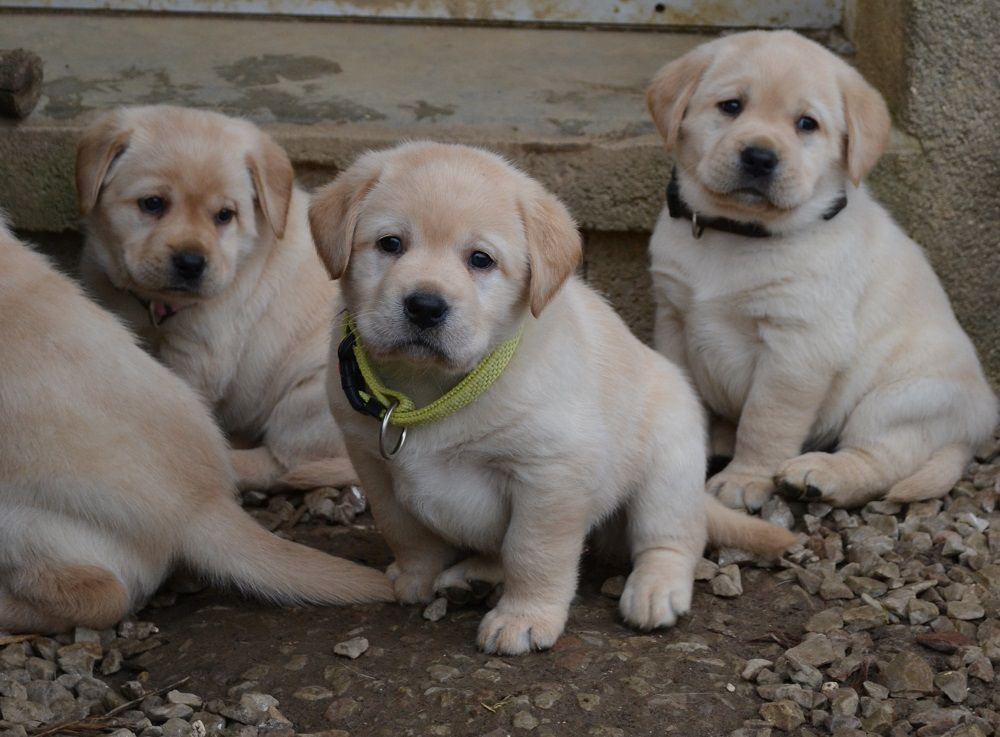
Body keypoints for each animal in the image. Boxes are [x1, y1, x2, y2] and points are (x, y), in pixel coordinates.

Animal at [78, 106, 360, 498]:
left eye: (225, 215)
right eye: (153, 204)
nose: (191, 262)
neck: (154, 305)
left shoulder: (199, 354)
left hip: (312, 397)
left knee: (281, 464)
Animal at [308, 142, 792, 656]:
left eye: (480, 260)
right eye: (390, 244)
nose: (425, 306)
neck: (435, 390)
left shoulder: (550, 475)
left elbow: (532, 550)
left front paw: (524, 617)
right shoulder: (372, 462)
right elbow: (404, 529)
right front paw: (417, 575)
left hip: (668, 467)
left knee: (673, 537)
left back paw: (655, 588)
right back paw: (473, 577)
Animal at [644, 30, 996, 512]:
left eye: (807, 124)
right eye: (731, 106)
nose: (759, 157)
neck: (738, 233)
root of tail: (975, 425)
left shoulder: (798, 345)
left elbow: (766, 419)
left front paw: (744, 479)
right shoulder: (674, 320)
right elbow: (688, 395)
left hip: (900, 400)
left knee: (882, 459)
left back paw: (820, 475)